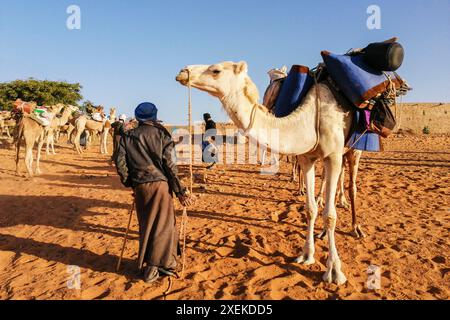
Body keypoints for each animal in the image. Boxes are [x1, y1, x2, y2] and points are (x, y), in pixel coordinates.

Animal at [176, 60, 352, 284]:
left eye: (216, 70)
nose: (183, 72)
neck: (309, 119)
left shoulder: (334, 155)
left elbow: (330, 216)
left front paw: (334, 270)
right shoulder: (306, 157)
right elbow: (310, 210)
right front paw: (306, 255)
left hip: (350, 150)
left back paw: (351, 217)